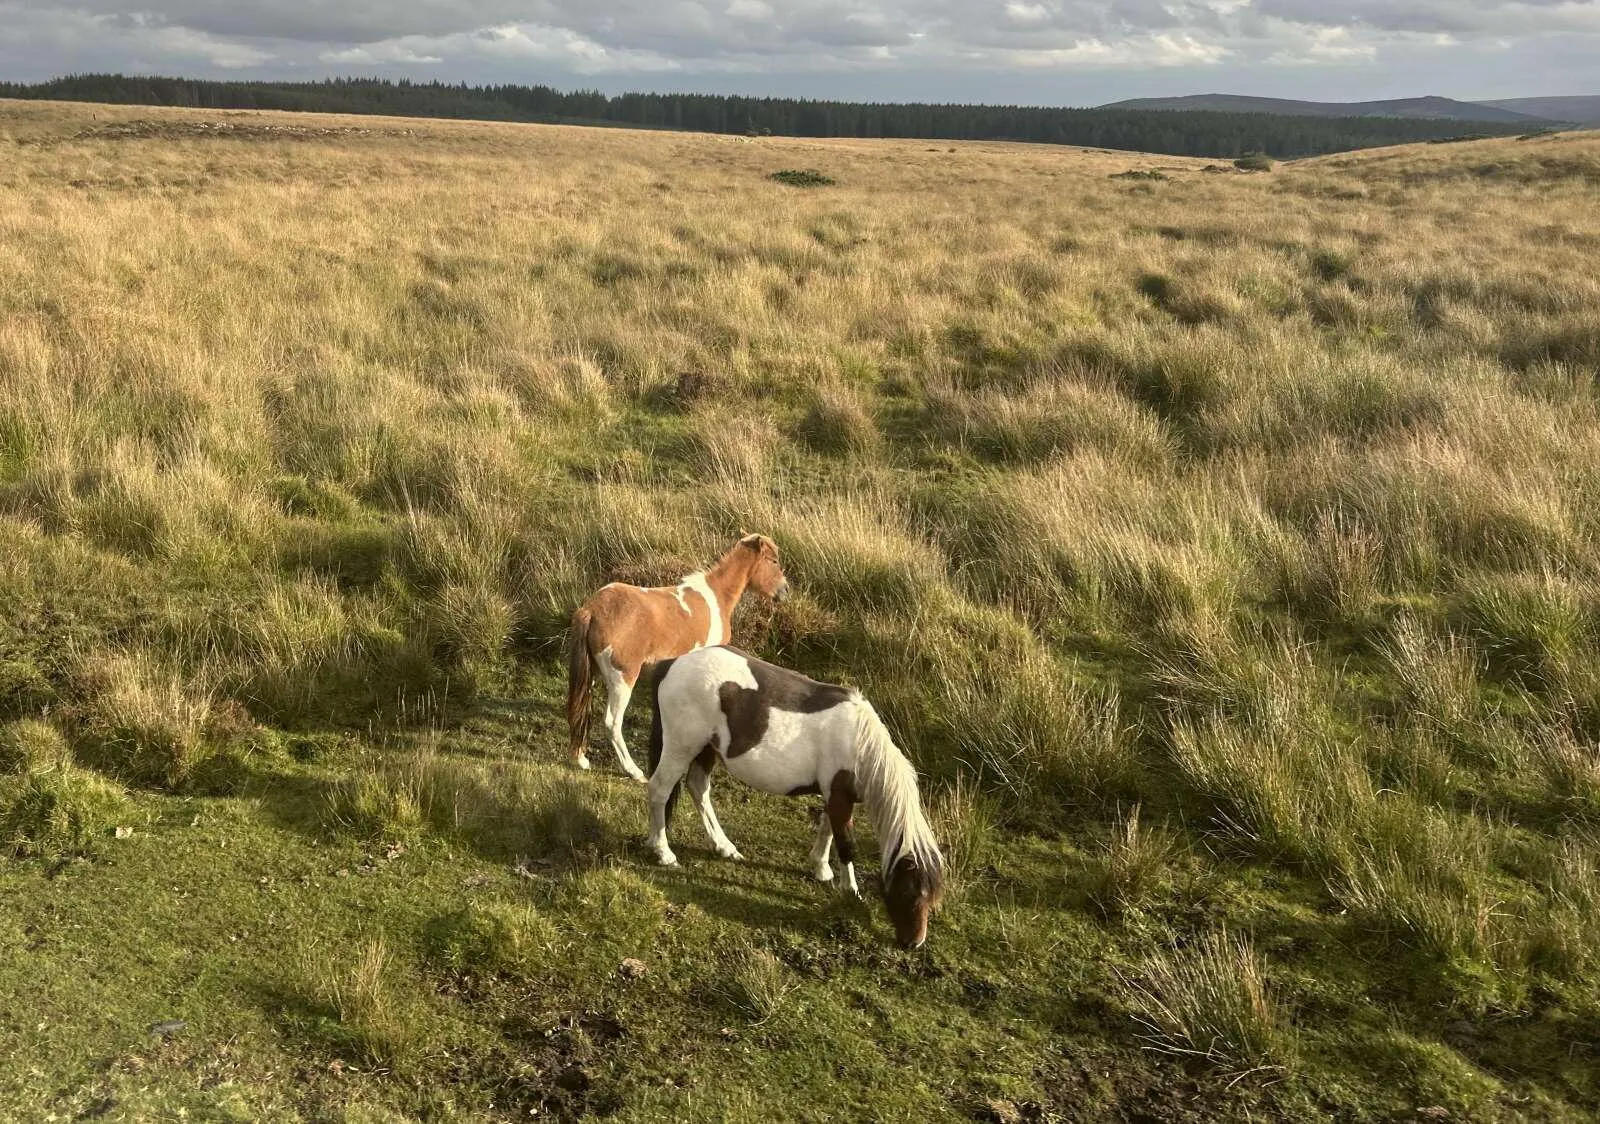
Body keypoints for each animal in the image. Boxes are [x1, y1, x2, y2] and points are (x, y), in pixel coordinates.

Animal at [566, 537, 790, 784]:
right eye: (774, 560)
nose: (784, 590)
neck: (717, 596)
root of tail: (592, 609)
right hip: (623, 678)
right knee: (612, 721)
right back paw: (635, 771)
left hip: (592, 674)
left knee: (581, 708)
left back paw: (581, 759)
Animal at [643, 643, 940, 947]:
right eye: (908, 892)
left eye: (933, 899)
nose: (915, 943)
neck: (859, 744)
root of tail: (672, 664)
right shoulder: (839, 797)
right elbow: (846, 844)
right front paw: (850, 891)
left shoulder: (835, 796)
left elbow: (827, 830)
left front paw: (821, 868)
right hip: (681, 747)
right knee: (660, 790)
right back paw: (664, 852)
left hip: (706, 750)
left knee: (698, 788)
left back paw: (724, 847)